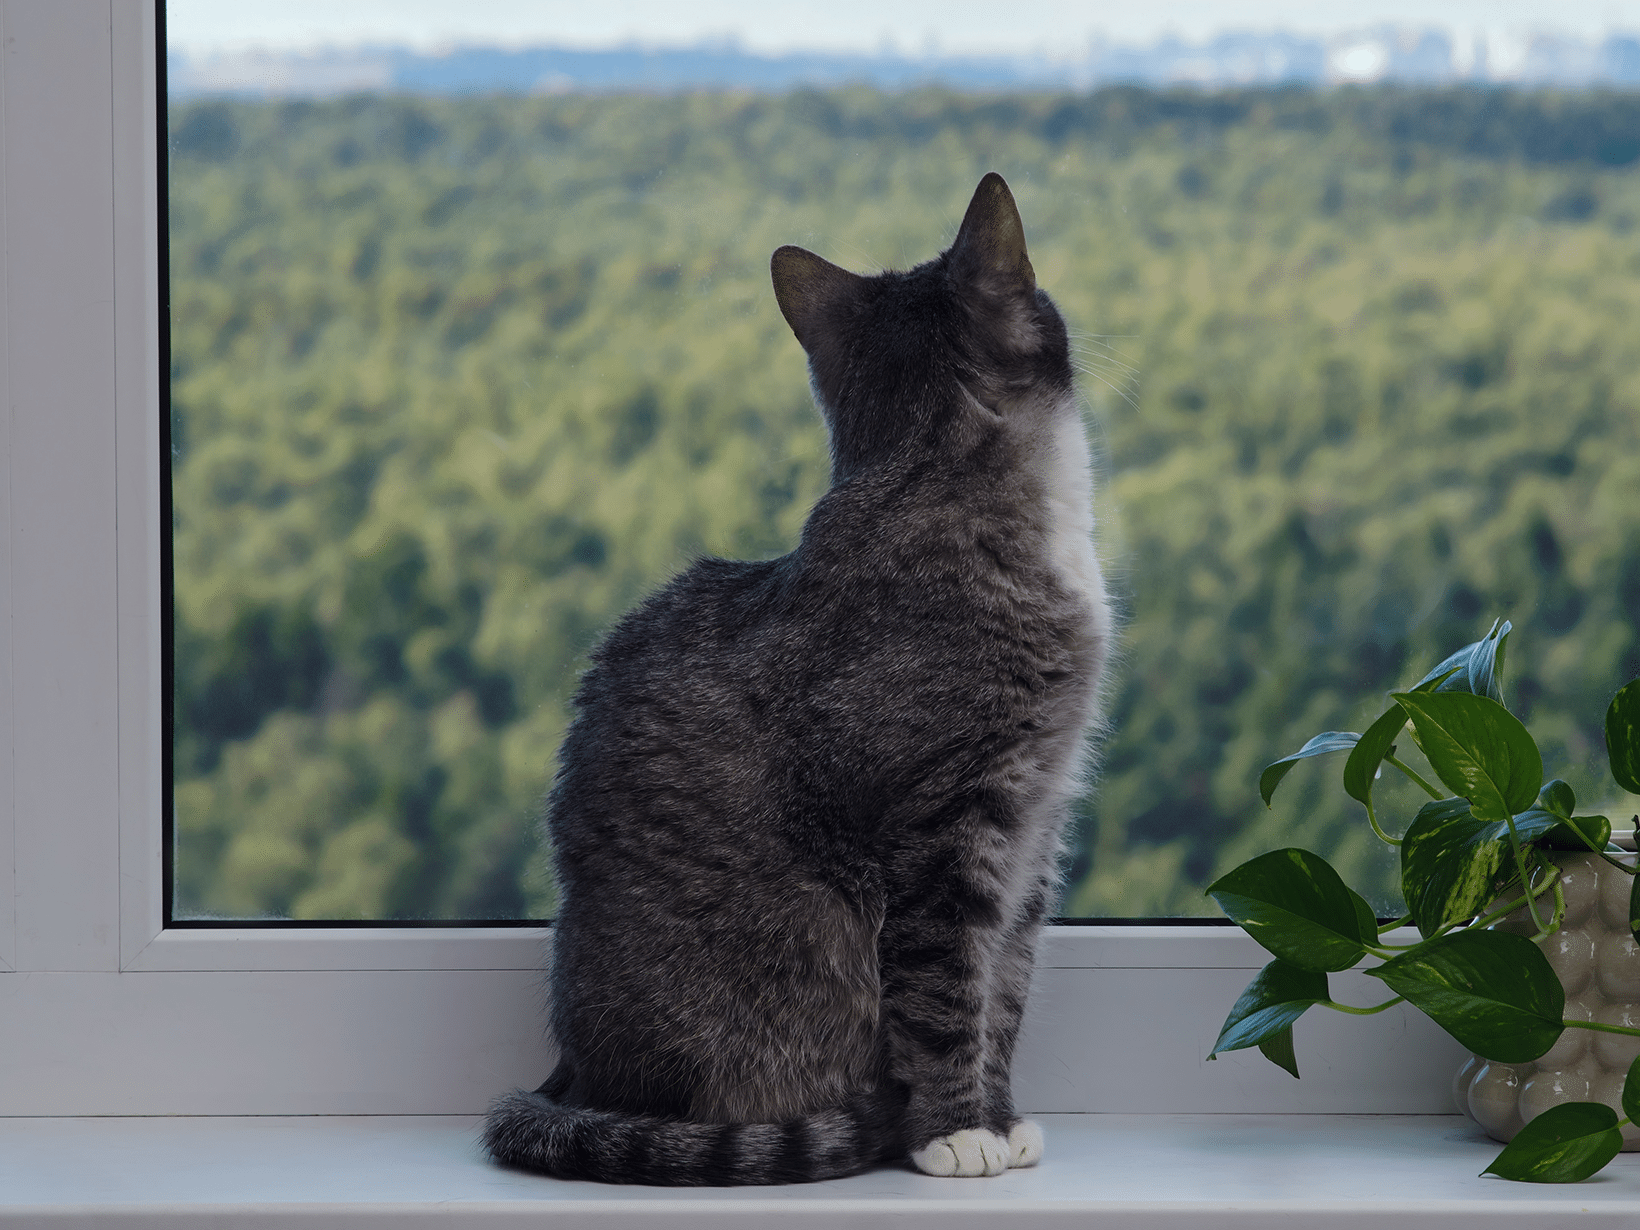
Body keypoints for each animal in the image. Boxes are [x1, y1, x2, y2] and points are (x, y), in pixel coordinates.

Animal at [478, 171, 1108, 1187]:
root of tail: (573, 1079)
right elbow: (948, 997)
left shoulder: (1036, 829)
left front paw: (1002, 1115)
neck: (930, 474)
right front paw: (954, 1130)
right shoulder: (944, 830)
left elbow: (1005, 993)